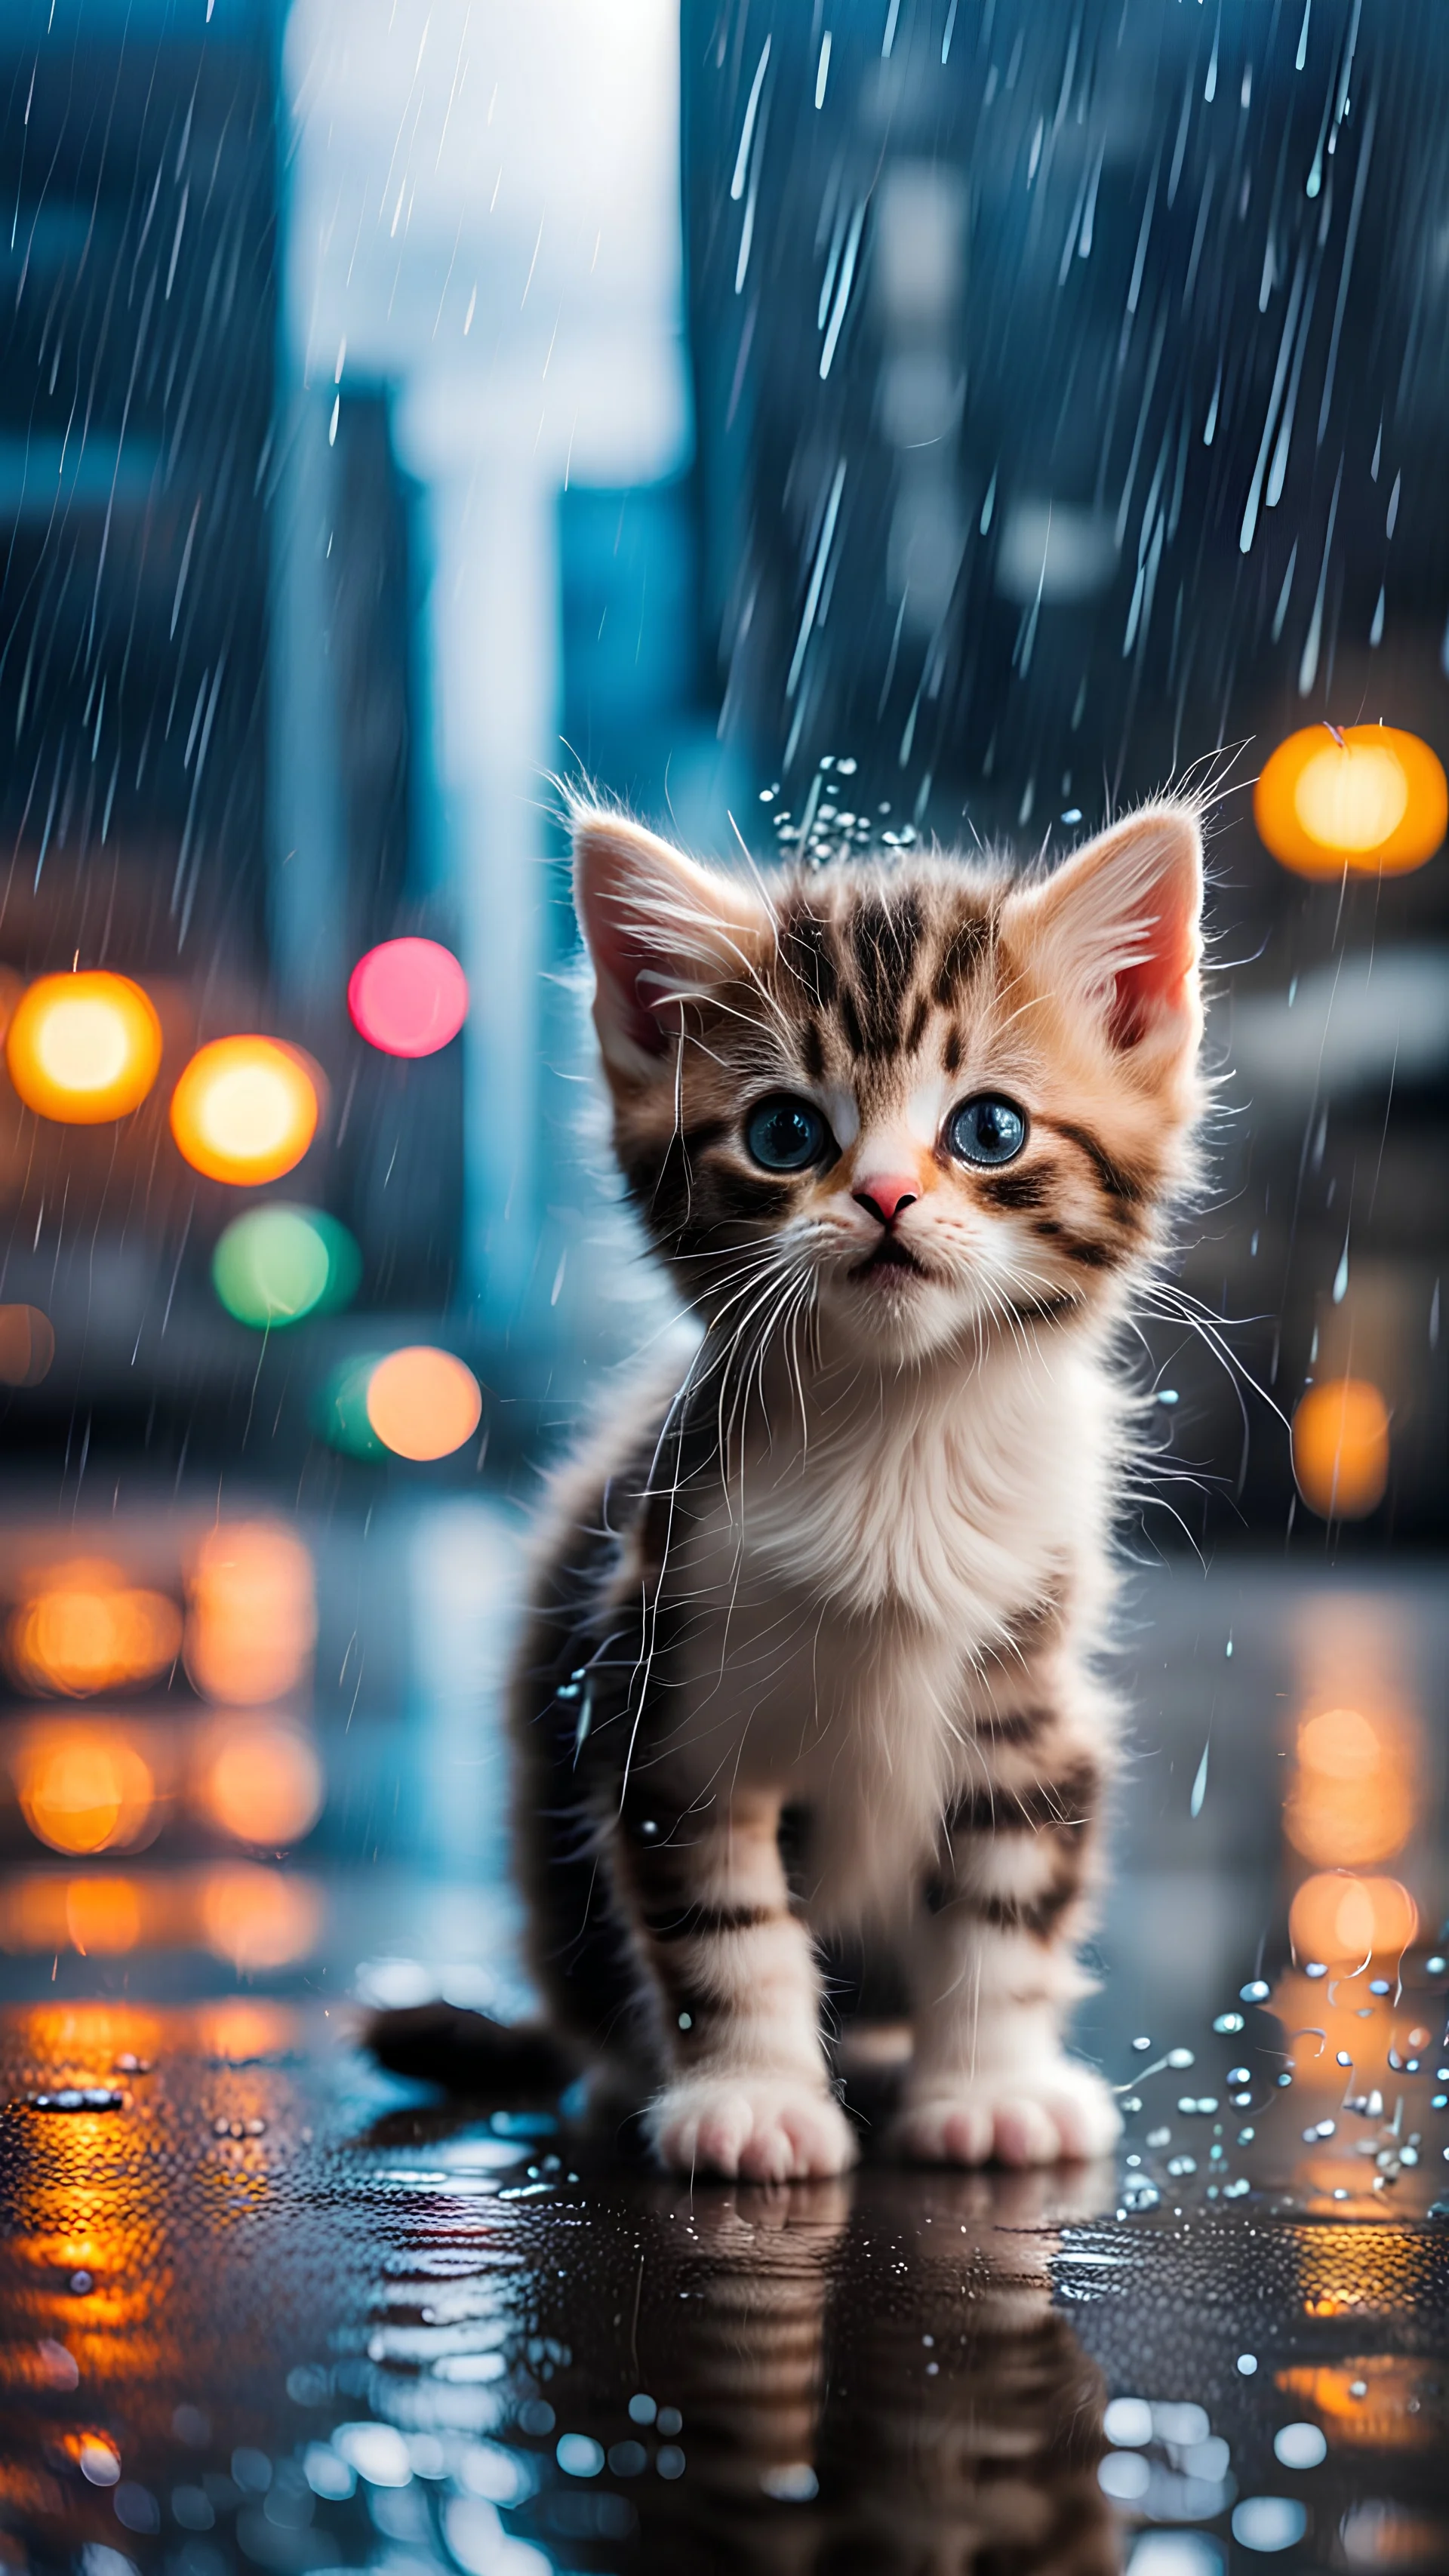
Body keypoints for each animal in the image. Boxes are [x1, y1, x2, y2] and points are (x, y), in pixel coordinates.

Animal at [380, 799, 1209, 2174]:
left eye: (989, 1128)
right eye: (785, 1134)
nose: (885, 1196)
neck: (898, 1436)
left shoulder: (1032, 1698)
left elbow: (1006, 1900)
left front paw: (992, 2088)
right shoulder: (660, 1688)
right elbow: (721, 1923)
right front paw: (752, 2100)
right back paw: (625, 2077)